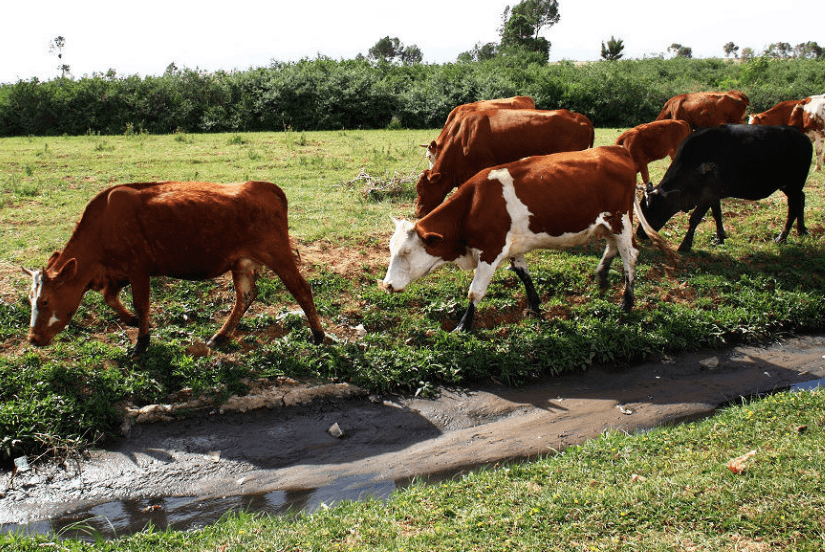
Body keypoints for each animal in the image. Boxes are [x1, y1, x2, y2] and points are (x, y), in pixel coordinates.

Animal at [22, 179, 326, 356]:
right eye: (30, 300)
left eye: (45, 301)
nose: (33, 338)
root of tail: (265, 186)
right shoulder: (117, 273)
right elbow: (110, 297)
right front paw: (131, 321)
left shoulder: (138, 267)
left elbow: (141, 303)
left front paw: (141, 343)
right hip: (241, 262)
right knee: (246, 295)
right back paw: (220, 336)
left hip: (278, 254)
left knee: (301, 289)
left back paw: (319, 335)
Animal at [386, 144, 676, 330]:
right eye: (391, 249)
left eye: (407, 252)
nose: (386, 285)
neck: (475, 204)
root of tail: (617, 150)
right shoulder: (513, 247)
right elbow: (523, 276)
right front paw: (534, 307)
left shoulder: (491, 252)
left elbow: (475, 292)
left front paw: (463, 325)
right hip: (606, 224)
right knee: (612, 249)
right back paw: (602, 279)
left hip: (620, 220)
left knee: (630, 256)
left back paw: (626, 303)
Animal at [640, 124, 808, 251]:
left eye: (652, 209)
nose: (640, 234)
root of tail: (802, 136)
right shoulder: (714, 196)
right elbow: (717, 214)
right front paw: (720, 237)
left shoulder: (706, 196)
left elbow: (694, 219)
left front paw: (685, 245)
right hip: (790, 187)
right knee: (802, 199)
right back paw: (802, 230)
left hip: (794, 185)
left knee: (793, 208)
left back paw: (782, 237)